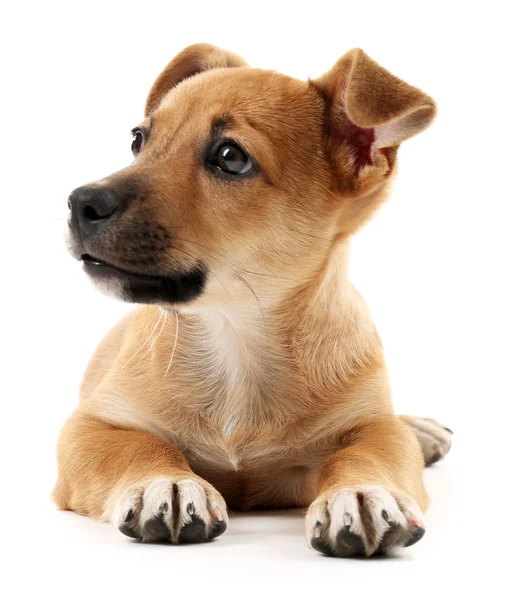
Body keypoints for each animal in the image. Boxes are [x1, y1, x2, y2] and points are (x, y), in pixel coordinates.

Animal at [54, 43, 454, 556]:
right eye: (138, 141)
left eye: (230, 157)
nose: (79, 202)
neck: (235, 335)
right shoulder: (89, 426)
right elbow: (139, 446)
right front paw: (165, 483)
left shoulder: (375, 429)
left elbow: (370, 452)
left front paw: (361, 493)